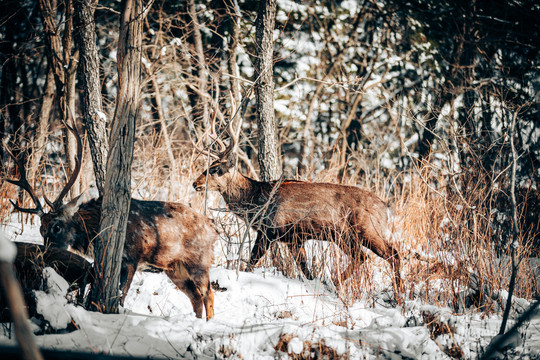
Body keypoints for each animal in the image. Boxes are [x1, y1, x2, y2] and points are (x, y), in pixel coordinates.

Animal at [2, 124, 217, 320]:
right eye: (41, 229)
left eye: (57, 226)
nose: (47, 251)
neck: (95, 229)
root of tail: (213, 228)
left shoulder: (132, 257)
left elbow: (121, 295)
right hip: (175, 268)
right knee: (195, 297)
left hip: (199, 260)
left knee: (208, 294)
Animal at [193, 132, 400, 296]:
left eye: (216, 169)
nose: (195, 183)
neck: (256, 201)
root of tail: (384, 207)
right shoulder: (295, 239)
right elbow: (305, 269)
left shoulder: (269, 231)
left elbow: (252, 260)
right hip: (344, 235)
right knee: (365, 256)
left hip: (365, 229)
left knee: (389, 254)